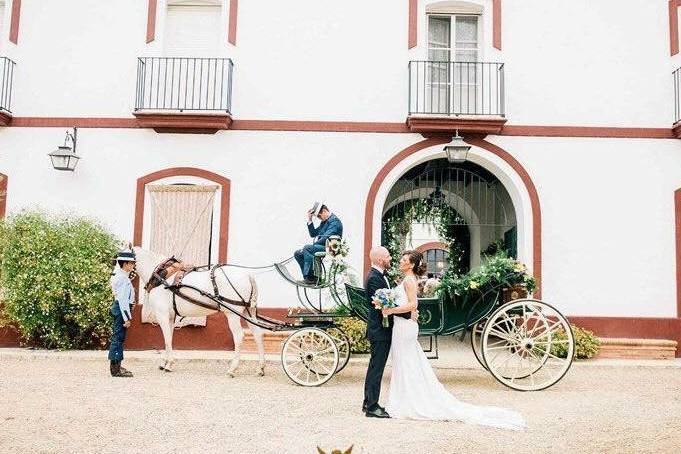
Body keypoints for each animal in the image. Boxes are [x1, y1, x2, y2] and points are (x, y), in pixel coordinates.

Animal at [131, 245, 266, 376]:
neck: (162, 277)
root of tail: (248, 275)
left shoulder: (162, 315)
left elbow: (167, 339)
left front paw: (169, 364)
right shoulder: (170, 317)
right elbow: (169, 337)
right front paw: (165, 362)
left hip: (232, 314)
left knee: (238, 336)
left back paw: (232, 369)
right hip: (249, 312)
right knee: (257, 334)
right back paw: (260, 367)